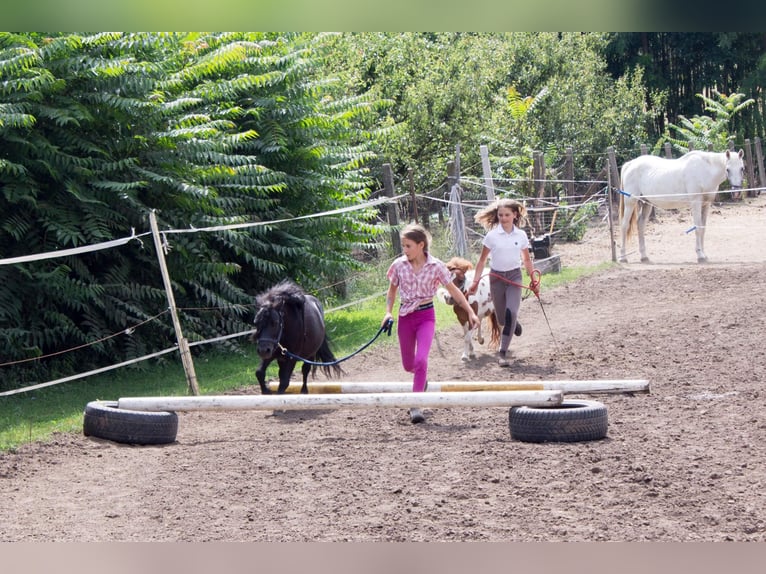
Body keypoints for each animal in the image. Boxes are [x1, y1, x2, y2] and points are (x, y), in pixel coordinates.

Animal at [620, 150, 748, 264]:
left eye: (742, 168)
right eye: (728, 169)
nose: (736, 192)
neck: (705, 169)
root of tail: (629, 165)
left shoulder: (705, 205)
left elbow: (703, 228)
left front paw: (704, 254)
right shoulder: (695, 203)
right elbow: (697, 228)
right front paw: (700, 255)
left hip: (646, 203)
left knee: (640, 225)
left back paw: (644, 257)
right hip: (630, 202)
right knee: (625, 225)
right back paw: (623, 257)